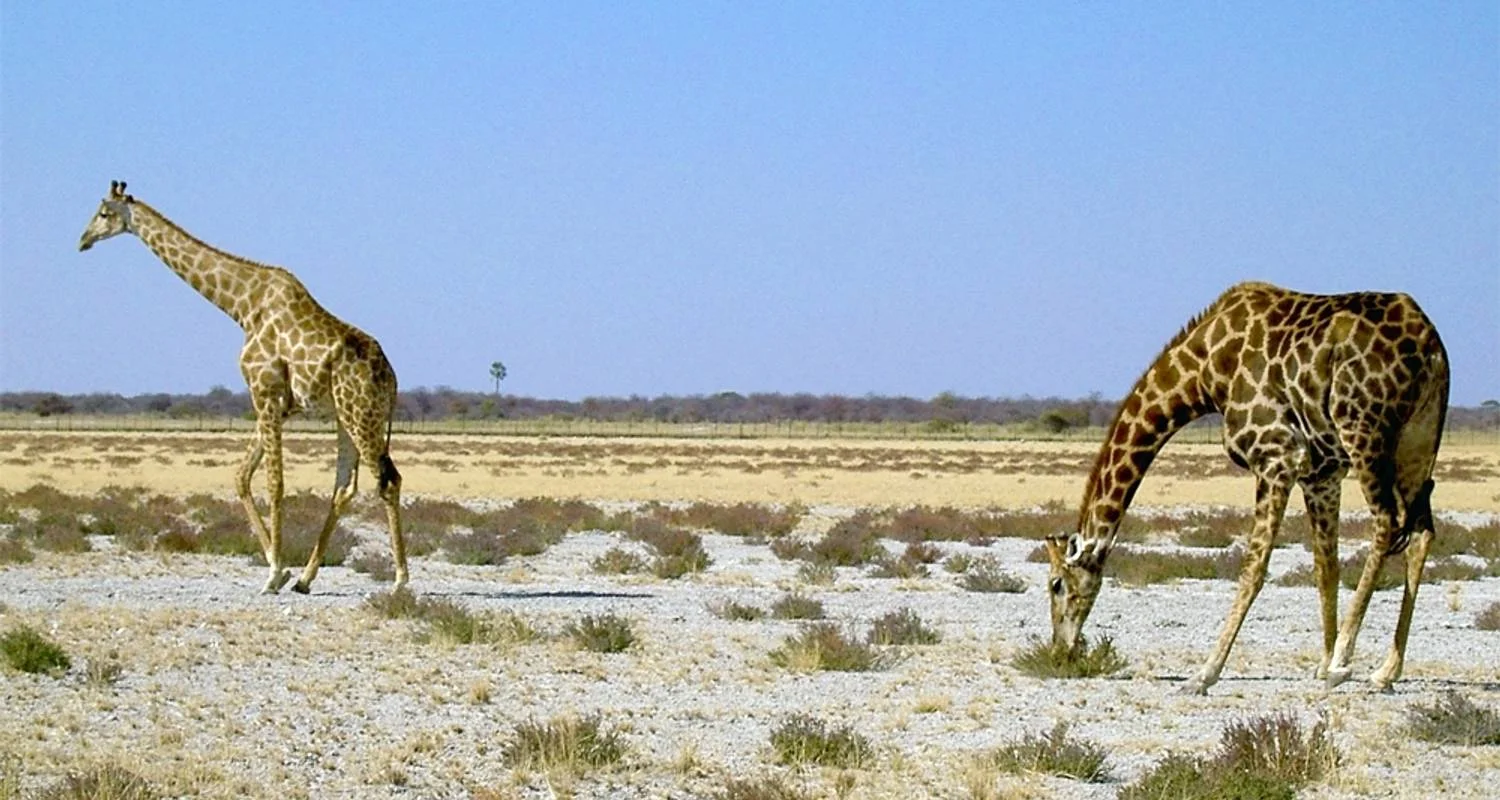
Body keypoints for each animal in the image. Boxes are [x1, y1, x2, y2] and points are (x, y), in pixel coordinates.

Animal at [78, 181, 408, 595]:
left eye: (104, 213)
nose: (83, 240)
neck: (242, 306)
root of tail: (392, 378)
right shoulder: (277, 403)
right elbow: (241, 476)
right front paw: (280, 570)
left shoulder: (263, 392)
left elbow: (275, 482)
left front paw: (273, 573)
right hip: (347, 417)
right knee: (344, 488)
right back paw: (305, 579)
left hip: (361, 414)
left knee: (388, 480)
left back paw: (400, 581)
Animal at [1044, 281, 1448, 695]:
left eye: (1056, 584)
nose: (1060, 649)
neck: (1206, 371)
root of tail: (1429, 344)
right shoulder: (1322, 473)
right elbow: (1326, 567)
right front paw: (1321, 664)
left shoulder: (1277, 457)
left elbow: (1253, 569)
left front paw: (1205, 673)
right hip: (1417, 440)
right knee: (1421, 531)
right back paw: (1385, 671)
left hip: (1363, 429)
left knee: (1386, 522)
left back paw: (1345, 662)